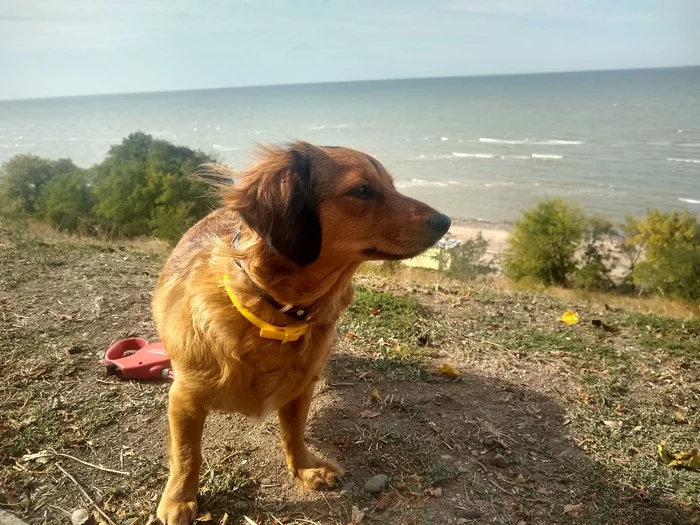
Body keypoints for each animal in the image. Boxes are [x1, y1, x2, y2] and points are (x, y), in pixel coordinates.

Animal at [150, 141, 452, 520]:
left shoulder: (300, 389)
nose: (446, 221)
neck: (275, 317)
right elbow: (187, 454)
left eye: (392, 186)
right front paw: (179, 497)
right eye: (361, 190)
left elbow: (293, 432)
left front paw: (305, 467)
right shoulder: (184, 399)